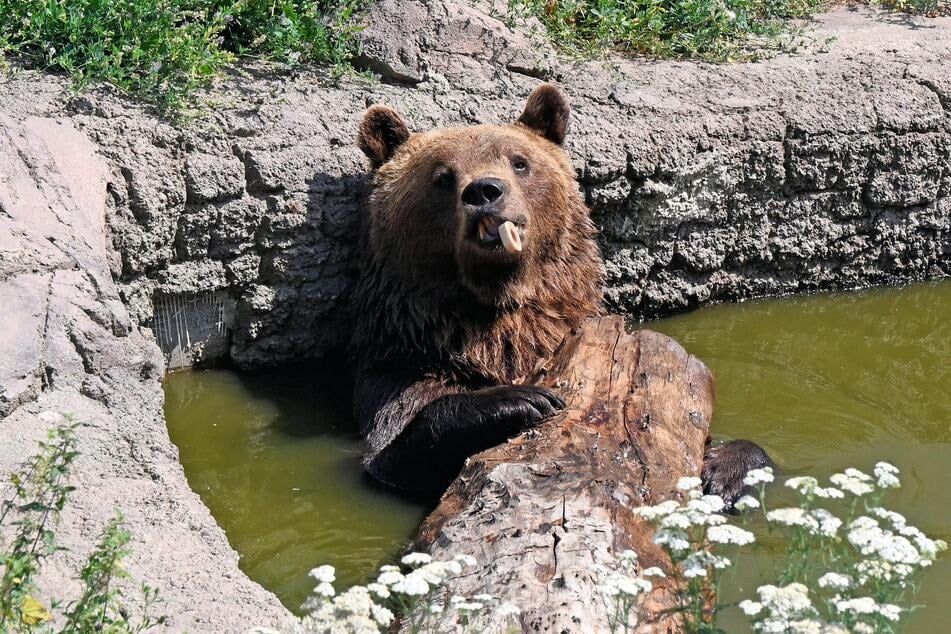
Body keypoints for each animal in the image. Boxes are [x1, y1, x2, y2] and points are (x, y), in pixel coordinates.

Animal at [354, 82, 768, 504]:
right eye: (442, 175)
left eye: (520, 162)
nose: (485, 191)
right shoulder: (404, 367)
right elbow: (393, 447)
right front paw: (521, 399)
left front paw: (727, 472)